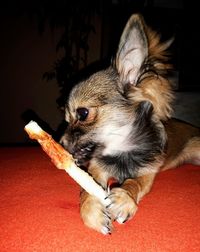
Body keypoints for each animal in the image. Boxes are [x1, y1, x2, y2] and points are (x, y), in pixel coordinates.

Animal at [59, 13, 200, 234]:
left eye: (82, 113)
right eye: (66, 119)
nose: (61, 142)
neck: (121, 150)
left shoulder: (147, 174)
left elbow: (134, 183)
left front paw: (124, 199)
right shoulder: (96, 171)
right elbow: (88, 190)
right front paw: (92, 210)